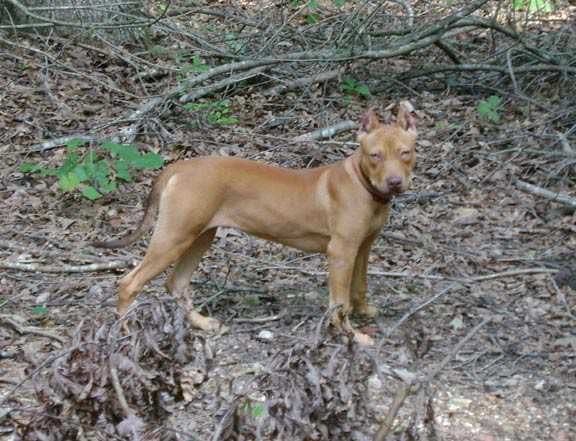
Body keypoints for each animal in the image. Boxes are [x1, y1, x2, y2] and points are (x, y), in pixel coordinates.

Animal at [95, 104, 418, 344]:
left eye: (406, 153)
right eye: (374, 156)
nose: (394, 182)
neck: (365, 186)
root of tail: (178, 167)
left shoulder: (362, 246)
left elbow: (359, 285)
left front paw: (364, 312)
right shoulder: (341, 252)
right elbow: (340, 302)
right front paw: (351, 336)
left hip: (199, 237)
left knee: (176, 284)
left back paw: (201, 323)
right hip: (173, 238)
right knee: (129, 283)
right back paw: (124, 332)